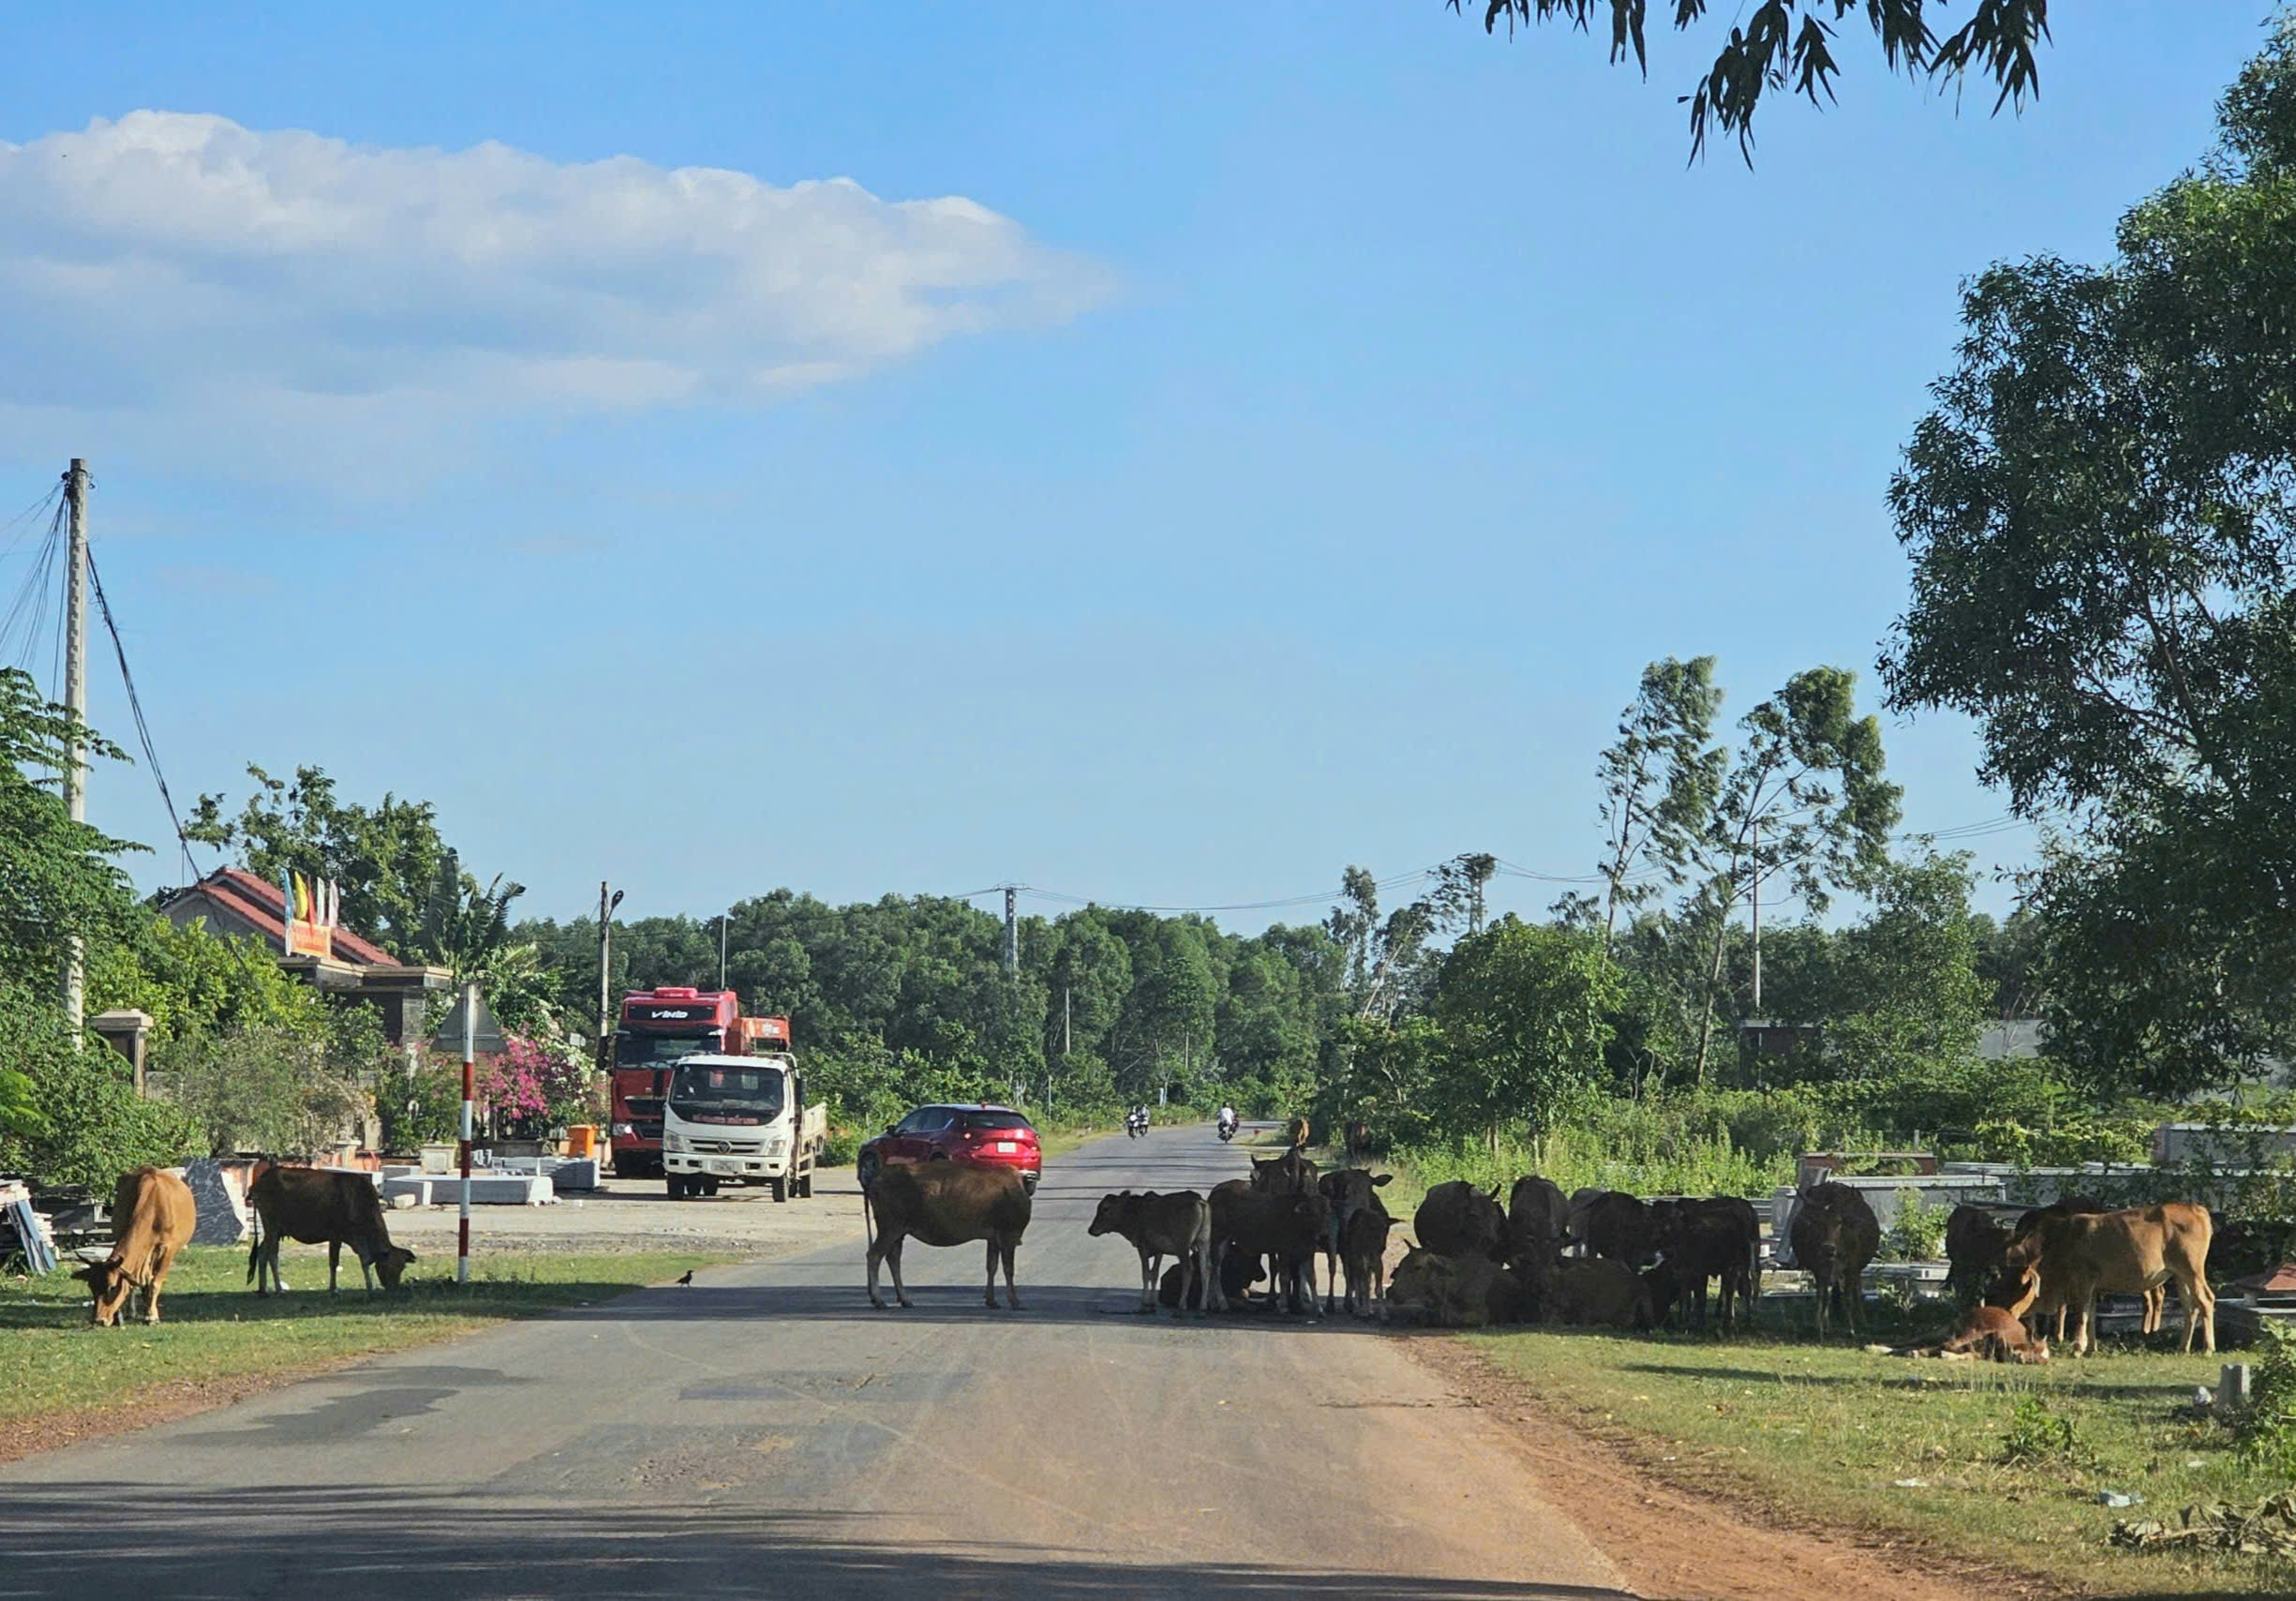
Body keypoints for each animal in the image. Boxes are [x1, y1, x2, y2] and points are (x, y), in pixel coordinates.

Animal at [75, 1161, 197, 1323]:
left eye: (112, 1287)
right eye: (91, 1287)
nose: (99, 1320)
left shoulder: (168, 1250)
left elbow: (155, 1283)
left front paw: (151, 1316)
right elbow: (132, 1282)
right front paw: (131, 1312)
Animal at [1088, 1185, 1221, 1313]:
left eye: (1106, 1208)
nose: (1091, 1230)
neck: (1131, 1222)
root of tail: (1201, 1203)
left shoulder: (1143, 1246)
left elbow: (1146, 1274)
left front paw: (1144, 1303)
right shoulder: (1159, 1250)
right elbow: (1155, 1274)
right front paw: (1152, 1303)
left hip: (1183, 1244)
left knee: (1188, 1269)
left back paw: (1182, 1304)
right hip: (1204, 1240)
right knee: (1206, 1268)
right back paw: (1203, 1305)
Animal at [1782, 1175, 1873, 1332]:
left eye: (1840, 1222)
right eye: (1819, 1222)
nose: (1827, 1248)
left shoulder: (1851, 1266)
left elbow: (1848, 1296)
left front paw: (1851, 1328)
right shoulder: (1818, 1267)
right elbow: (1822, 1296)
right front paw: (1819, 1325)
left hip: (1856, 1268)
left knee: (1856, 1290)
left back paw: (1862, 1321)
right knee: (1830, 1292)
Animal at [2002, 1194, 2213, 1350]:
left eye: (2022, 1287)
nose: (2009, 1312)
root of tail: (2196, 1209)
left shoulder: (2084, 1282)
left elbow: (2081, 1314)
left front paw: (2077, 1347)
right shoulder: (2094, 1287)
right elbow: (2091, 1315)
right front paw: (2090, 1347)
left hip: (2192, 1270)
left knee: (2206, 1300)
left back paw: (2208, 1348)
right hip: (2179, 1276)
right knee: (2190, 1307)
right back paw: (2183, 1346)